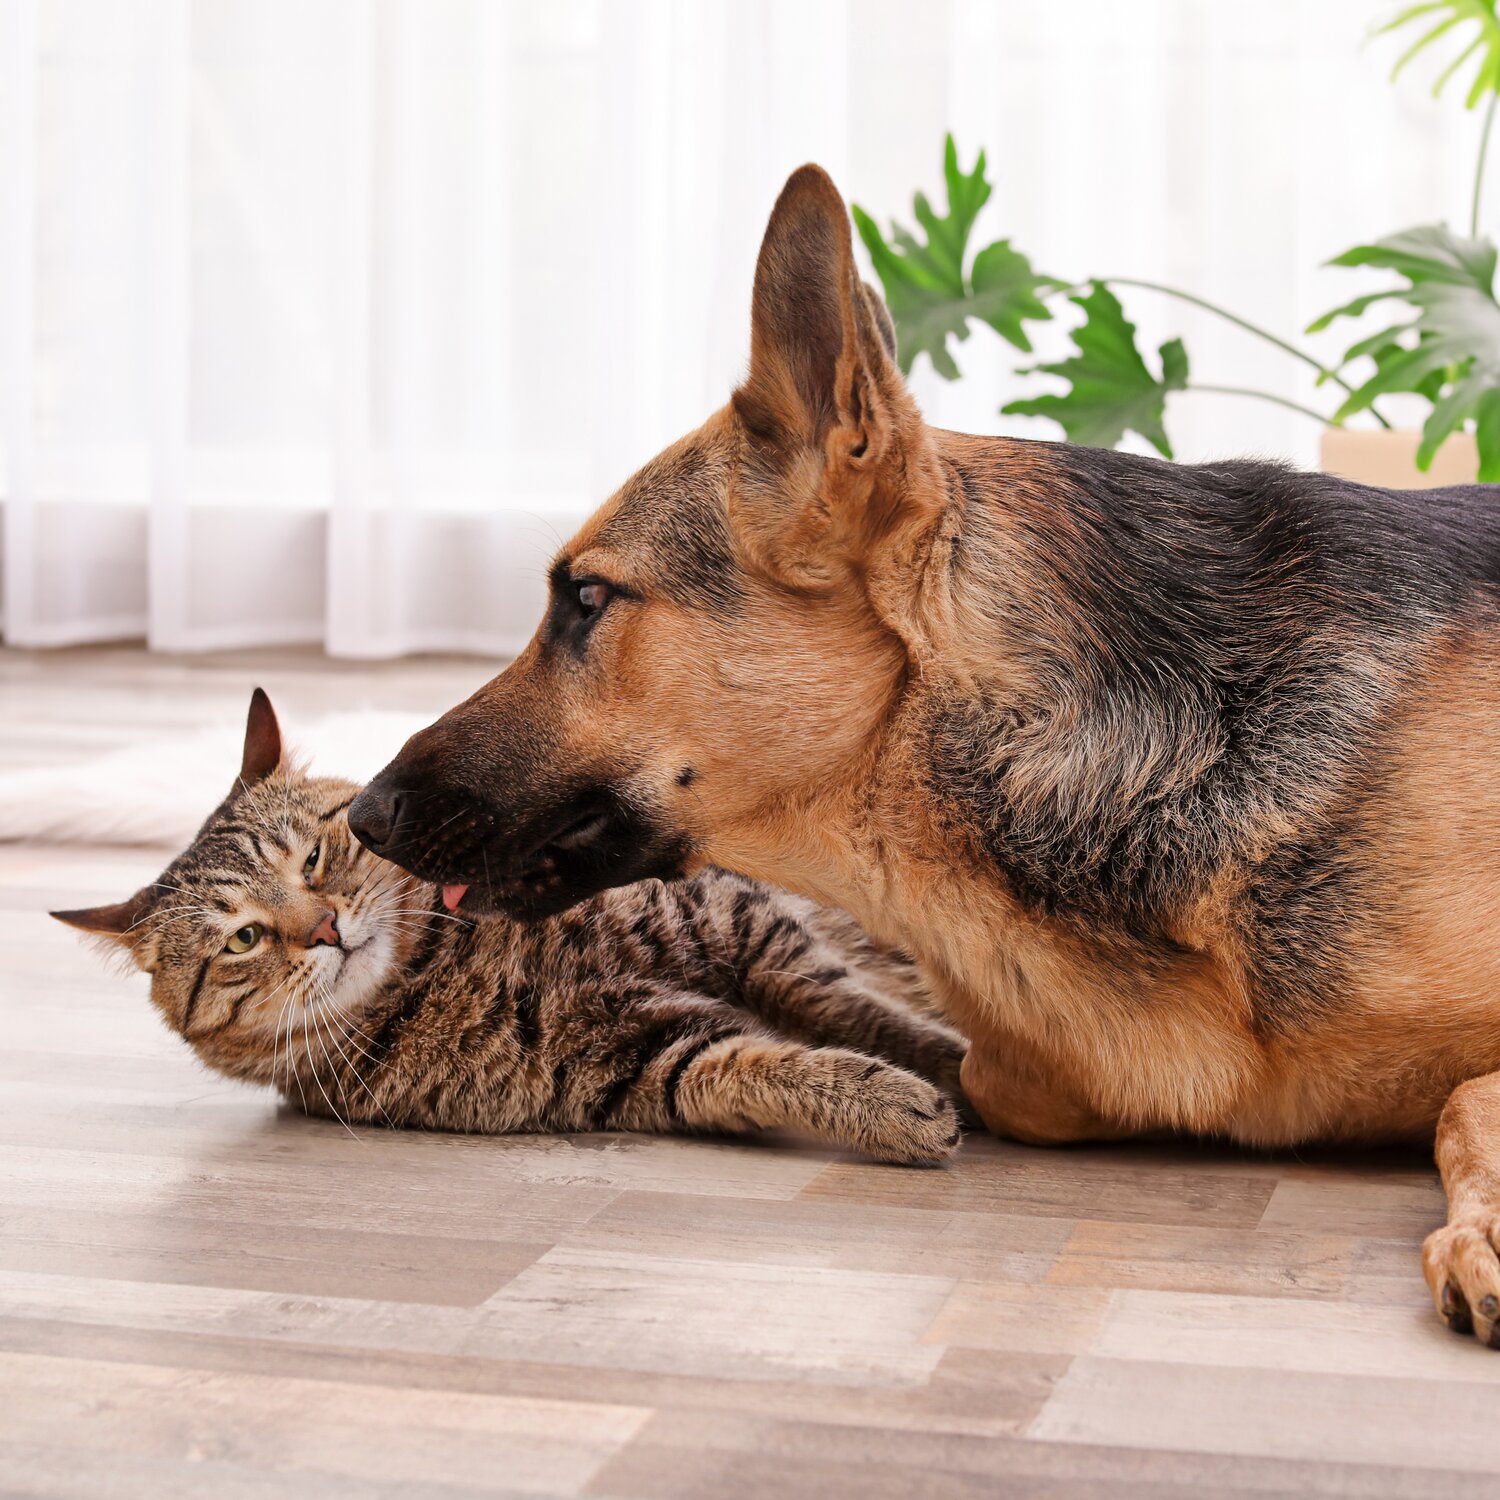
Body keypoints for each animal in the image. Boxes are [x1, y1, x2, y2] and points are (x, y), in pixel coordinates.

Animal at [52, 687, 966, 1164]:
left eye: (311, 858)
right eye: (241, 938)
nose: (323, 929)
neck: (442, 958)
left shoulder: (748, 928)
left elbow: (863, 1013)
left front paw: (951, 1061)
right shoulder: (635, 1063)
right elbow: (765, 1067)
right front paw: (897, 1102)